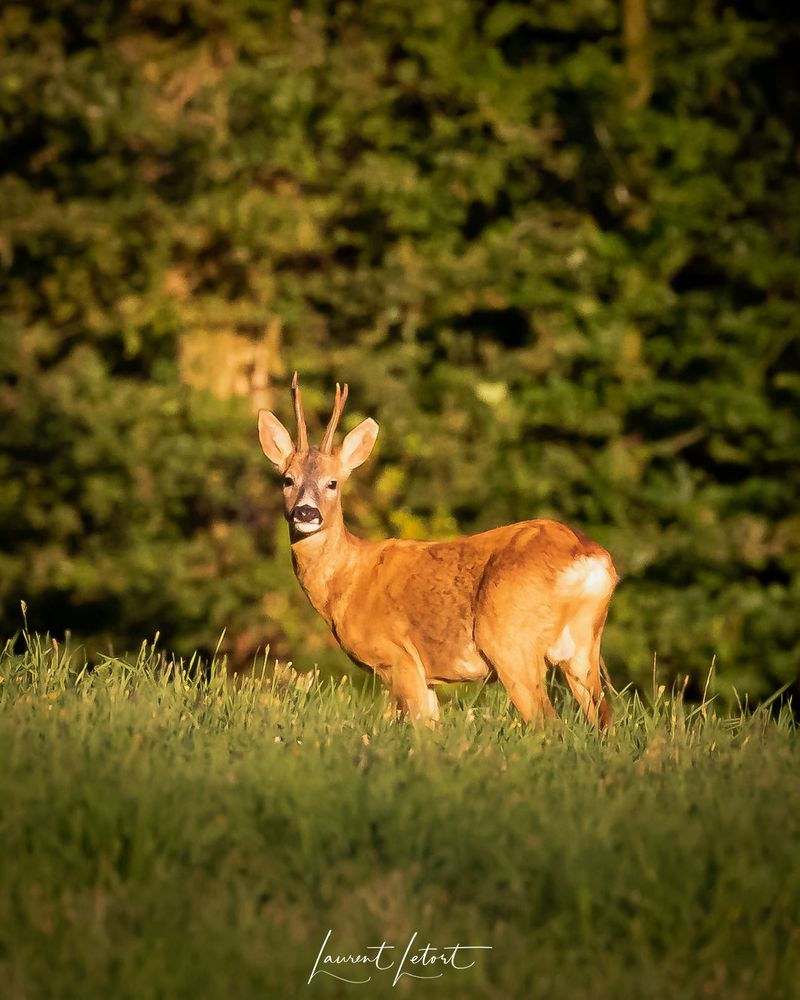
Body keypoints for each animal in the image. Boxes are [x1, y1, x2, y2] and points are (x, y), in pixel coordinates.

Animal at [257, 374, 617, 727]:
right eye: (287, 480)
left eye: (333, 482)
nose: (306, 512)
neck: (347, 581)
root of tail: (589, 556)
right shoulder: (427, 677)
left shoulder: (399, 657)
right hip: (583, 647)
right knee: (603, 718)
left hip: (510, 639)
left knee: (547, 722)